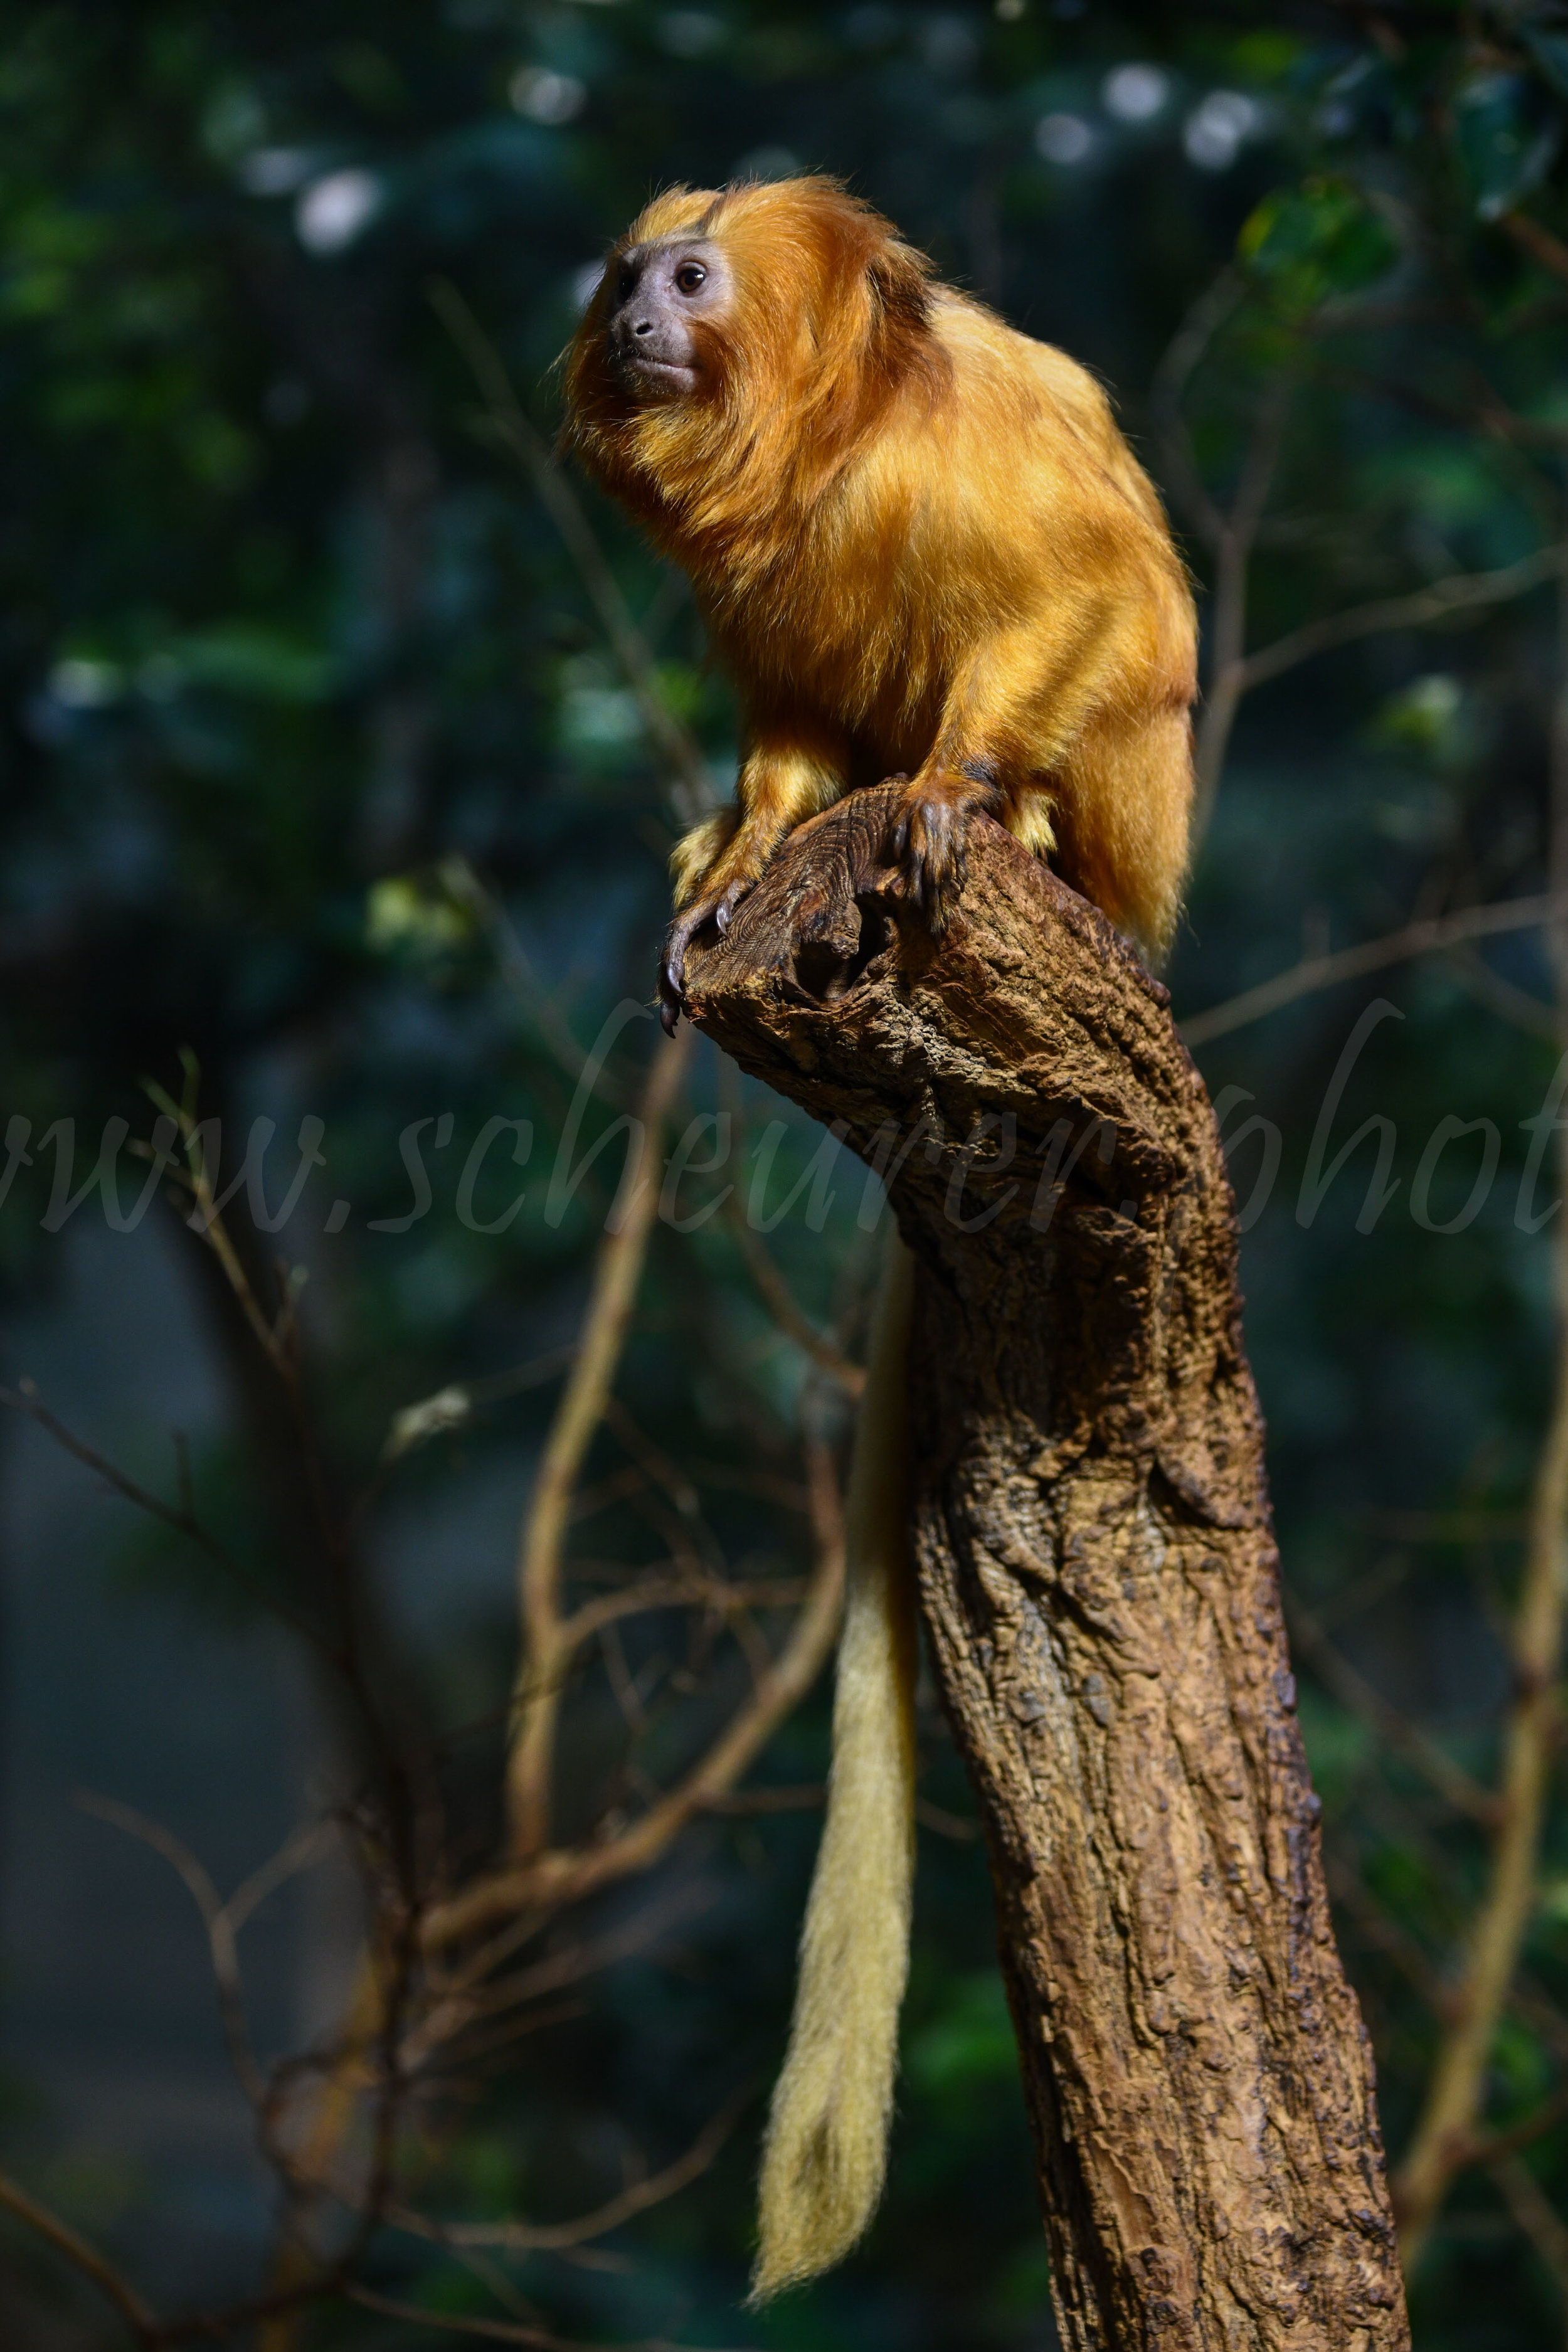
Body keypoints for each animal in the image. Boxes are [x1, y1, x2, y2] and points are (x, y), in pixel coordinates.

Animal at [563, 175, 1197, 2301]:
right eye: (630, 273)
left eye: (688, 277)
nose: (629, 309)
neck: (825, 447)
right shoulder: (764, 625)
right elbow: (780, 724)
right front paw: (753, 835)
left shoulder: (995, 472)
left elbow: (1090, 594)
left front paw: (948, 788)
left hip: (1141, 846)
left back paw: (1024, 837)